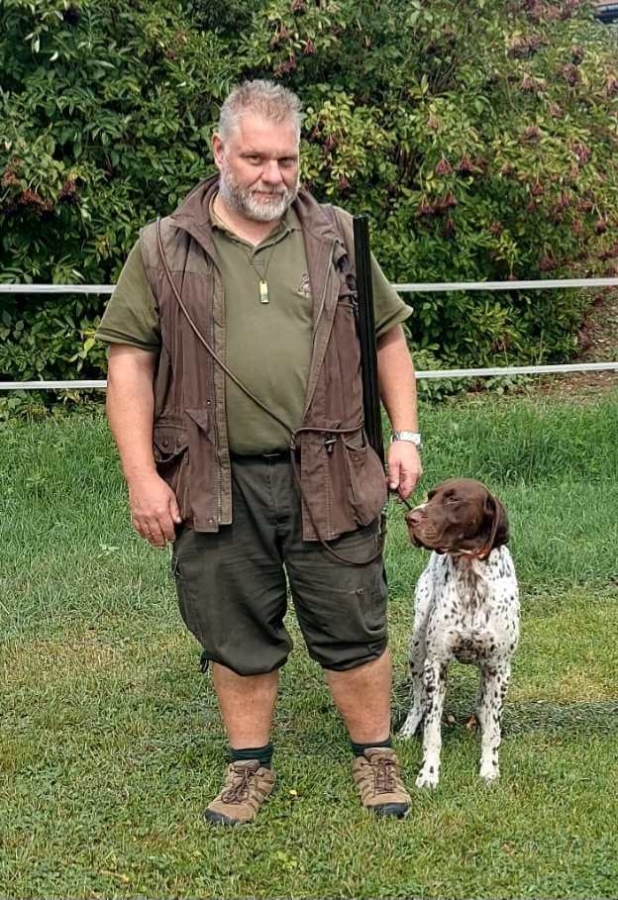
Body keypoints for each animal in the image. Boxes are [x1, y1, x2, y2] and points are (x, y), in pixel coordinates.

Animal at [400, 479, 519, 787]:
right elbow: (432, 729)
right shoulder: (436, 663)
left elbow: (493, 731)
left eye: (453, 500)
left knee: (485, 706)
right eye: (431, 496)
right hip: (417, 648)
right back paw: (407, 729)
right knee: (419, 700)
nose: (410, 517)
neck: (471, 579)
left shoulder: (499, 666)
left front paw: (489, 769)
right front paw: (428, 773)